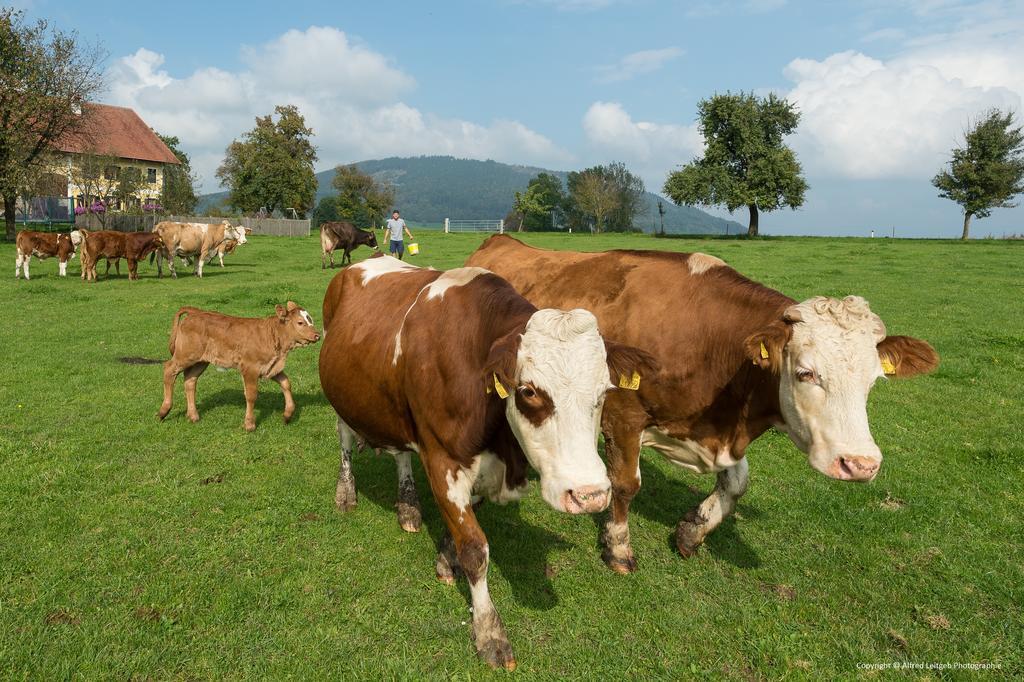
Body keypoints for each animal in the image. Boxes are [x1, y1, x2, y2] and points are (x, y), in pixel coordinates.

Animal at [157, 303, 319, 430]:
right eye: (300, 322)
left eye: (310, 319)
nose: (317, 335)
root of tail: (195, 311)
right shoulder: (250, 368)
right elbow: (251, 395)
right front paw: (249, 424)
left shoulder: (271, 367)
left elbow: (286, 383)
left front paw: (287, 415)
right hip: (185, 355)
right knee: (169, 370)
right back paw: (164, 411)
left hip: (200, 361)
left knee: (190, 380)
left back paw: (193, 416)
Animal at [319, 253, 655, 663]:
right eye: (528, 392)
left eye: (605, 390)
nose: (589, 494)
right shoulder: (442, 459)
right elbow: (475, 549)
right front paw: (489, 631)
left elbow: (464, 526)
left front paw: (445, 558)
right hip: (341, 399)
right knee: (345, 440)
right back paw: (346, 492)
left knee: (400, 454)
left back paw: (409, 506)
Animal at [464, 236, 942, 569]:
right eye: (805, 372)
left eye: (874, 380)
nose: (860, 464)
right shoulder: (623, 415)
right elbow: (626, 484)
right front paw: (617, 547)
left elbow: (736, 485)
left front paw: (693, 531)